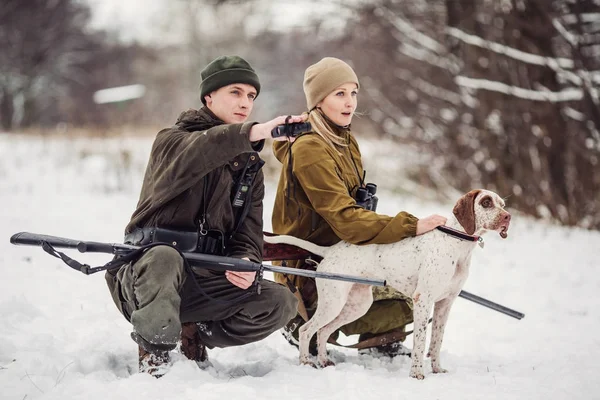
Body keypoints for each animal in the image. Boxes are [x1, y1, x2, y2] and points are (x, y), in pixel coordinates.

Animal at [264, 189, 508, 380]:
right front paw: (417, 374)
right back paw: (306, 362)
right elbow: (421, 342)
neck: (457, 245)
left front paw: (437, 370)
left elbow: (436, 341)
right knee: (306, 330)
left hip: (355, 306)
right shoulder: (423, 301)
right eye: (486, 202)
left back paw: (324, 362)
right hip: (333, 303)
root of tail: (330, 251)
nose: (508, 217)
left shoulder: (445, 304)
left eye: (503, 204)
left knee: (323, 332)